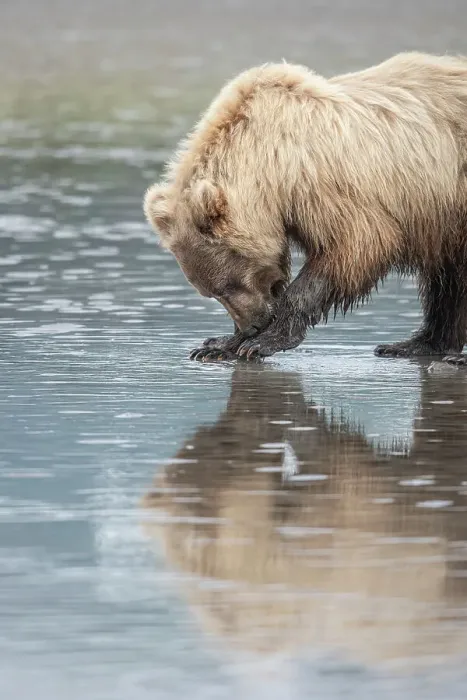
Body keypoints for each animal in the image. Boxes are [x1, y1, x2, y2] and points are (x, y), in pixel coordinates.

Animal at [144, 52, 467, 363]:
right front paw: (219, 345)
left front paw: (264, 341)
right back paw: (415, 344)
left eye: (228, 285)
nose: (251, 326)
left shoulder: (323, 184)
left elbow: (353, 246)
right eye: (211, 293)